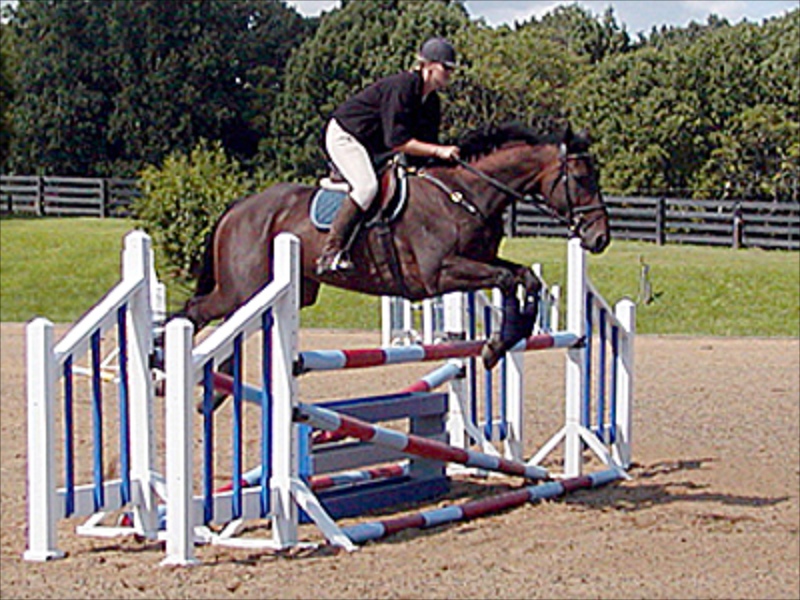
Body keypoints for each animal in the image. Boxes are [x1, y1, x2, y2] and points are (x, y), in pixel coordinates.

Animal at [177, 121, 610, 370]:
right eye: (582, 179)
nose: (600, 238)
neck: (464, 193)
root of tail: (238, 206)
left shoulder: (480, 260)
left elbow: (524, 279)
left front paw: (504, 340)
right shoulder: (440, 274)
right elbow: (506, 280)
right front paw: (496, 344)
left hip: (294, 293)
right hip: (243, 290)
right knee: (195, 312)